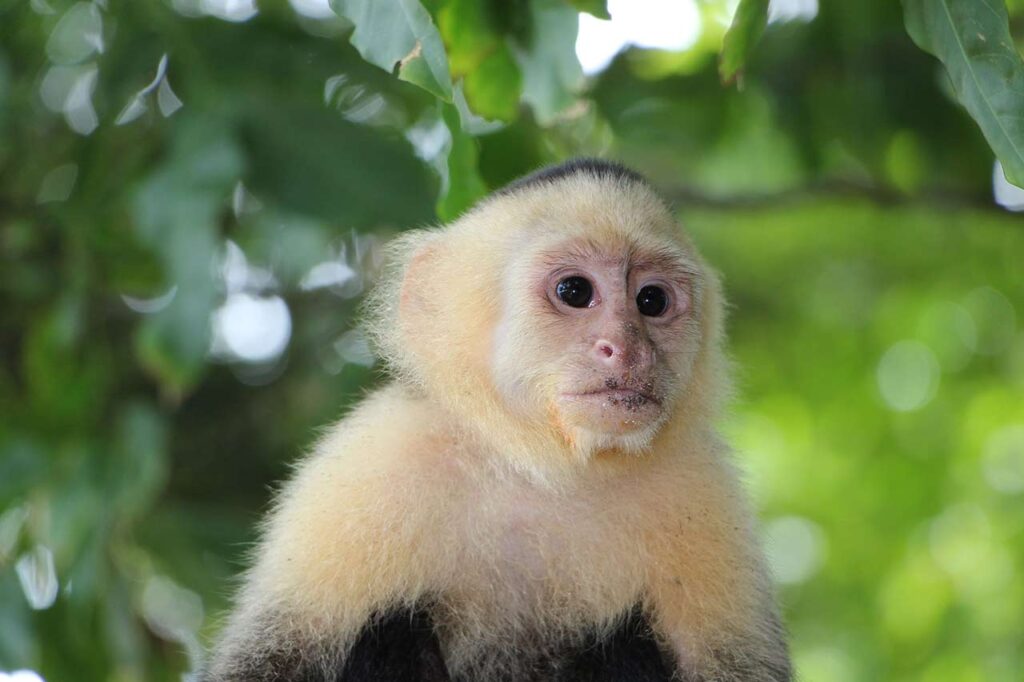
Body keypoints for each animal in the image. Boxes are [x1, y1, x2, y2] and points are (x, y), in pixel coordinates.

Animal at [202, 159, 792, 682]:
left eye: (652, 300)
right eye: (575, 291)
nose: (627, 349)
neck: (545, 472)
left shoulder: (702, 488)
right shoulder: (374, 460)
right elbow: (267, 663)